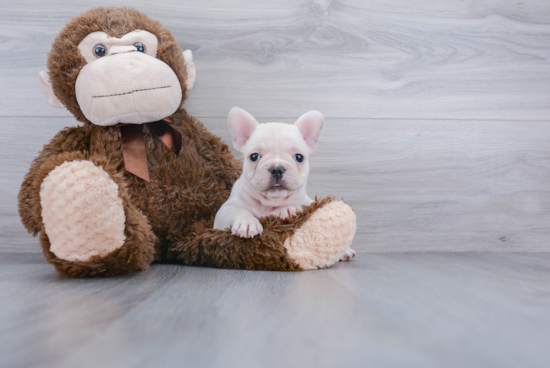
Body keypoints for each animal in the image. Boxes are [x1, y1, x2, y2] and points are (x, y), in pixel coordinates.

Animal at [216, 106, 358, 262]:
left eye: (299, 157)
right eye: (254, 156)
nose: (277, 169)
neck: (269, 204)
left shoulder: (306, 202)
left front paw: (289, 210)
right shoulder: (225, 210)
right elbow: (239, 211)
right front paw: (247, 223)